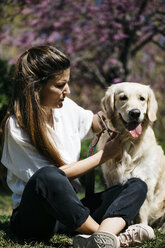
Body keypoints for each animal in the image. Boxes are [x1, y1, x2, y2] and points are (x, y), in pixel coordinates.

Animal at [98, 82, 165, 232]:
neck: (128, 142)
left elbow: (141, 211)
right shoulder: (112, 179)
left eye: (142, 98)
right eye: (123, 98)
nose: (135, 113)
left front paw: (141, 227)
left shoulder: (145, 179)